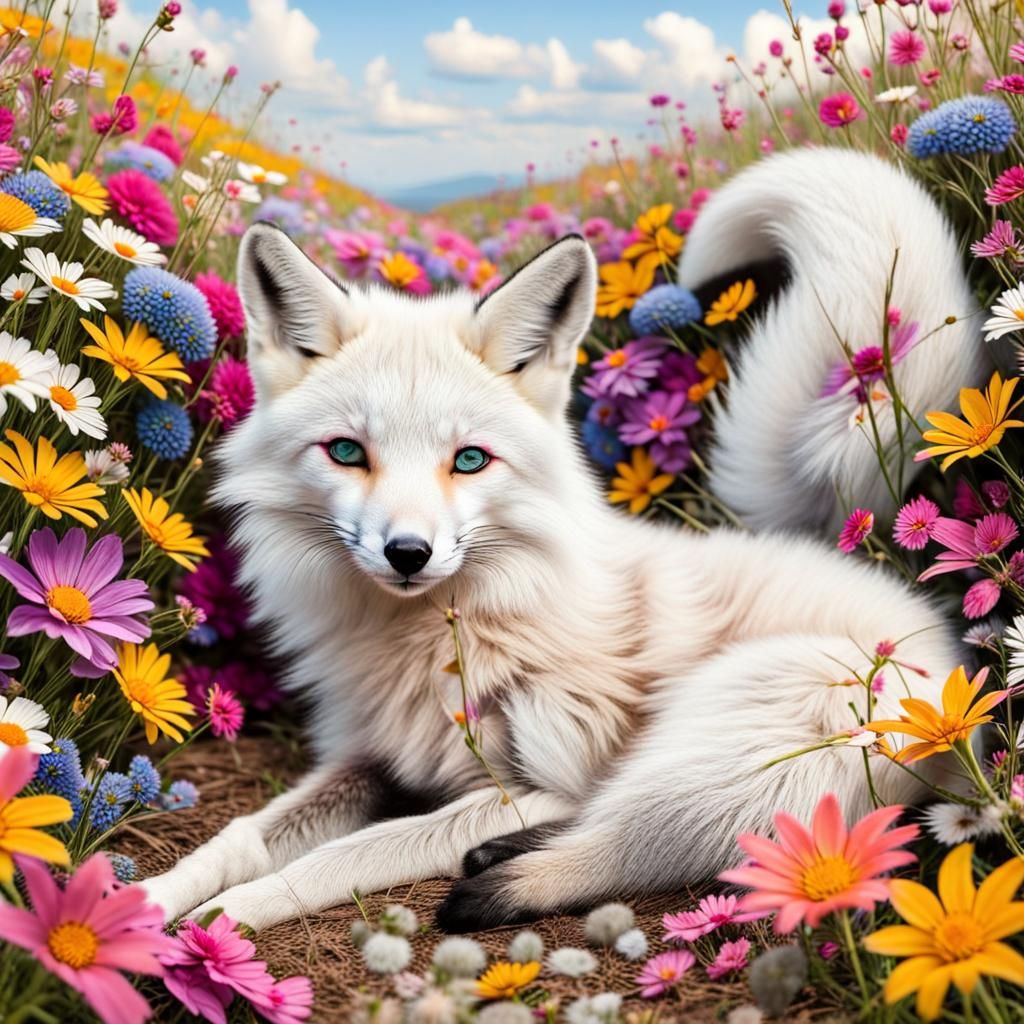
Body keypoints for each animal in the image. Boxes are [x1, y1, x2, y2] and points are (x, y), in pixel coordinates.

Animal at [142, 149, 983, 937]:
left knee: (621, 838)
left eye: (469, 460)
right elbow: (240, 837)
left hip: (730, 736)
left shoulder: (543, 774)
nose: (408, 554)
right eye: (347, 452)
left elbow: (342, 856)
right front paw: (150, 899)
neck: (437, 640)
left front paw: (226, 918)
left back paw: (497, 884)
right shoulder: (373, 755)